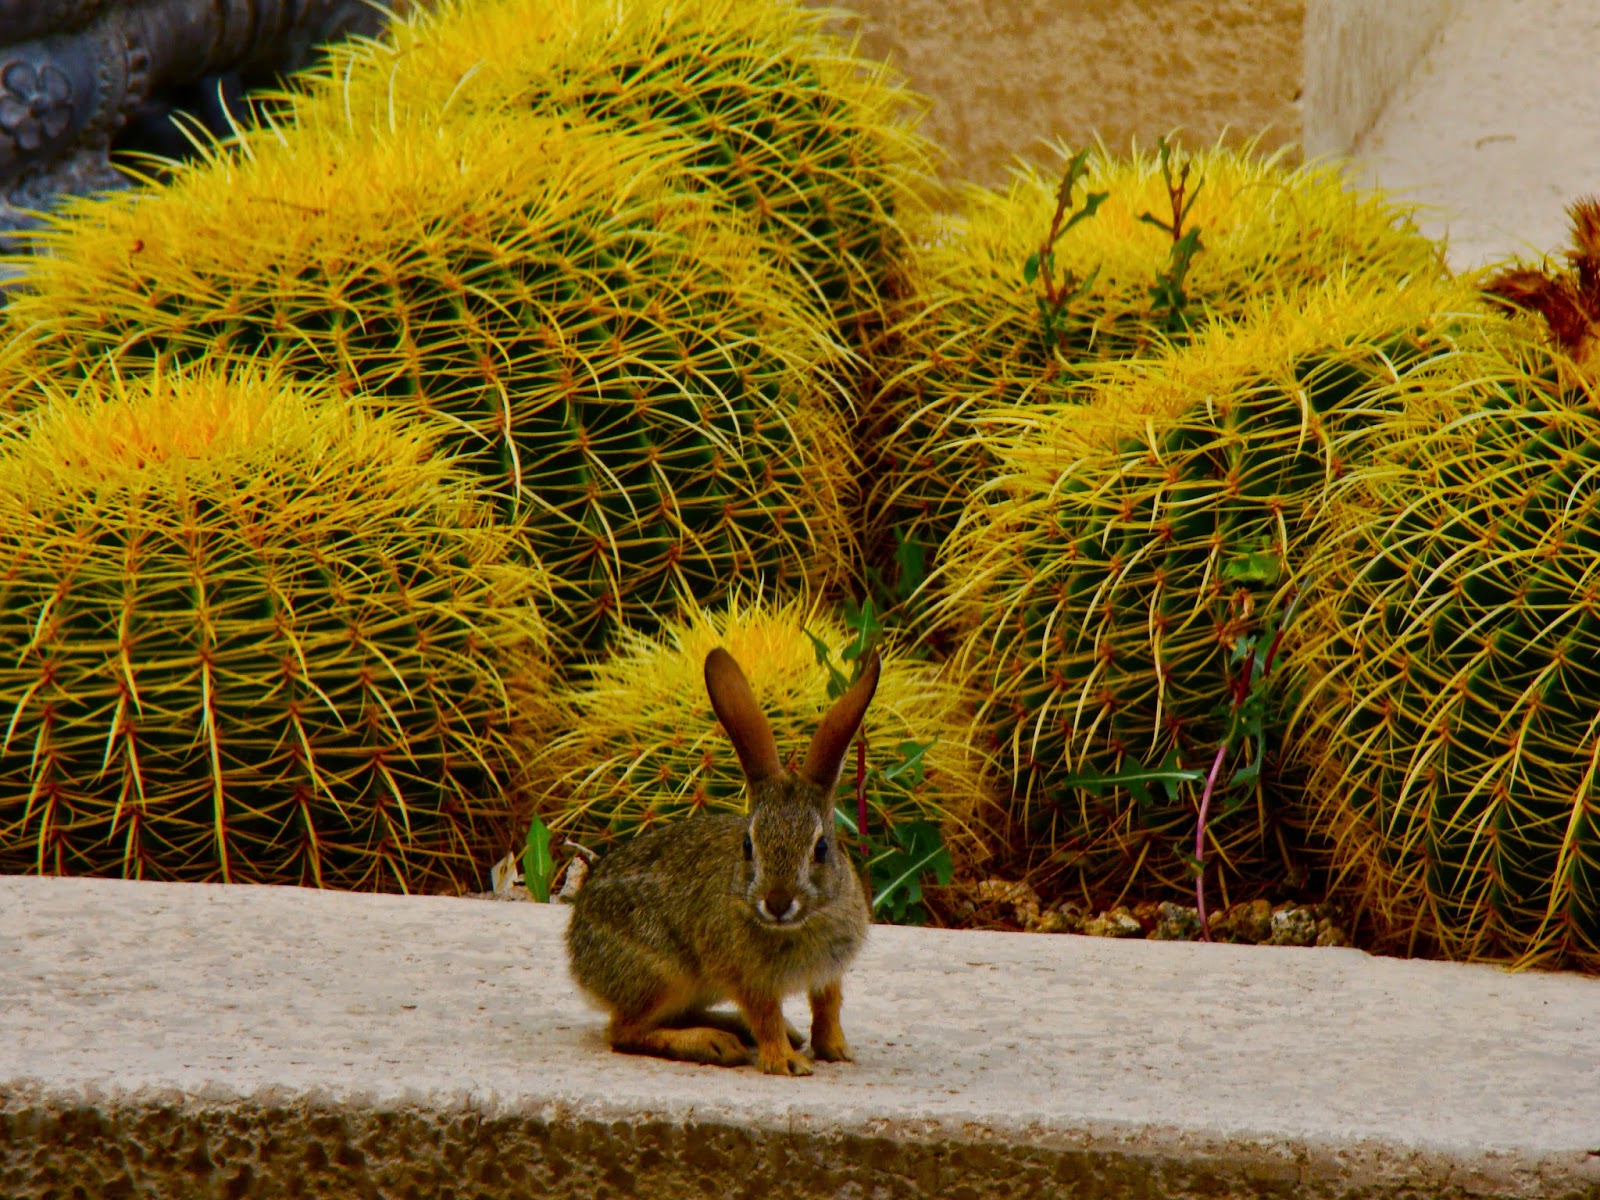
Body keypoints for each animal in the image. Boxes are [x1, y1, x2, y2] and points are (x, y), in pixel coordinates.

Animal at [566, 645, 880, 1075]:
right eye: (748, 845)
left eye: (821, 849)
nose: (777, 903)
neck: (798, 924)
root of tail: (579, 958)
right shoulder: (748, 979)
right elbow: (765, 1017)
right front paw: (786, 1063)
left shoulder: (828, 974)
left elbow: (827, 1006)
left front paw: (835, 1049)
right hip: (664, 976)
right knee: (624, 1032)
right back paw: (715, 1044)